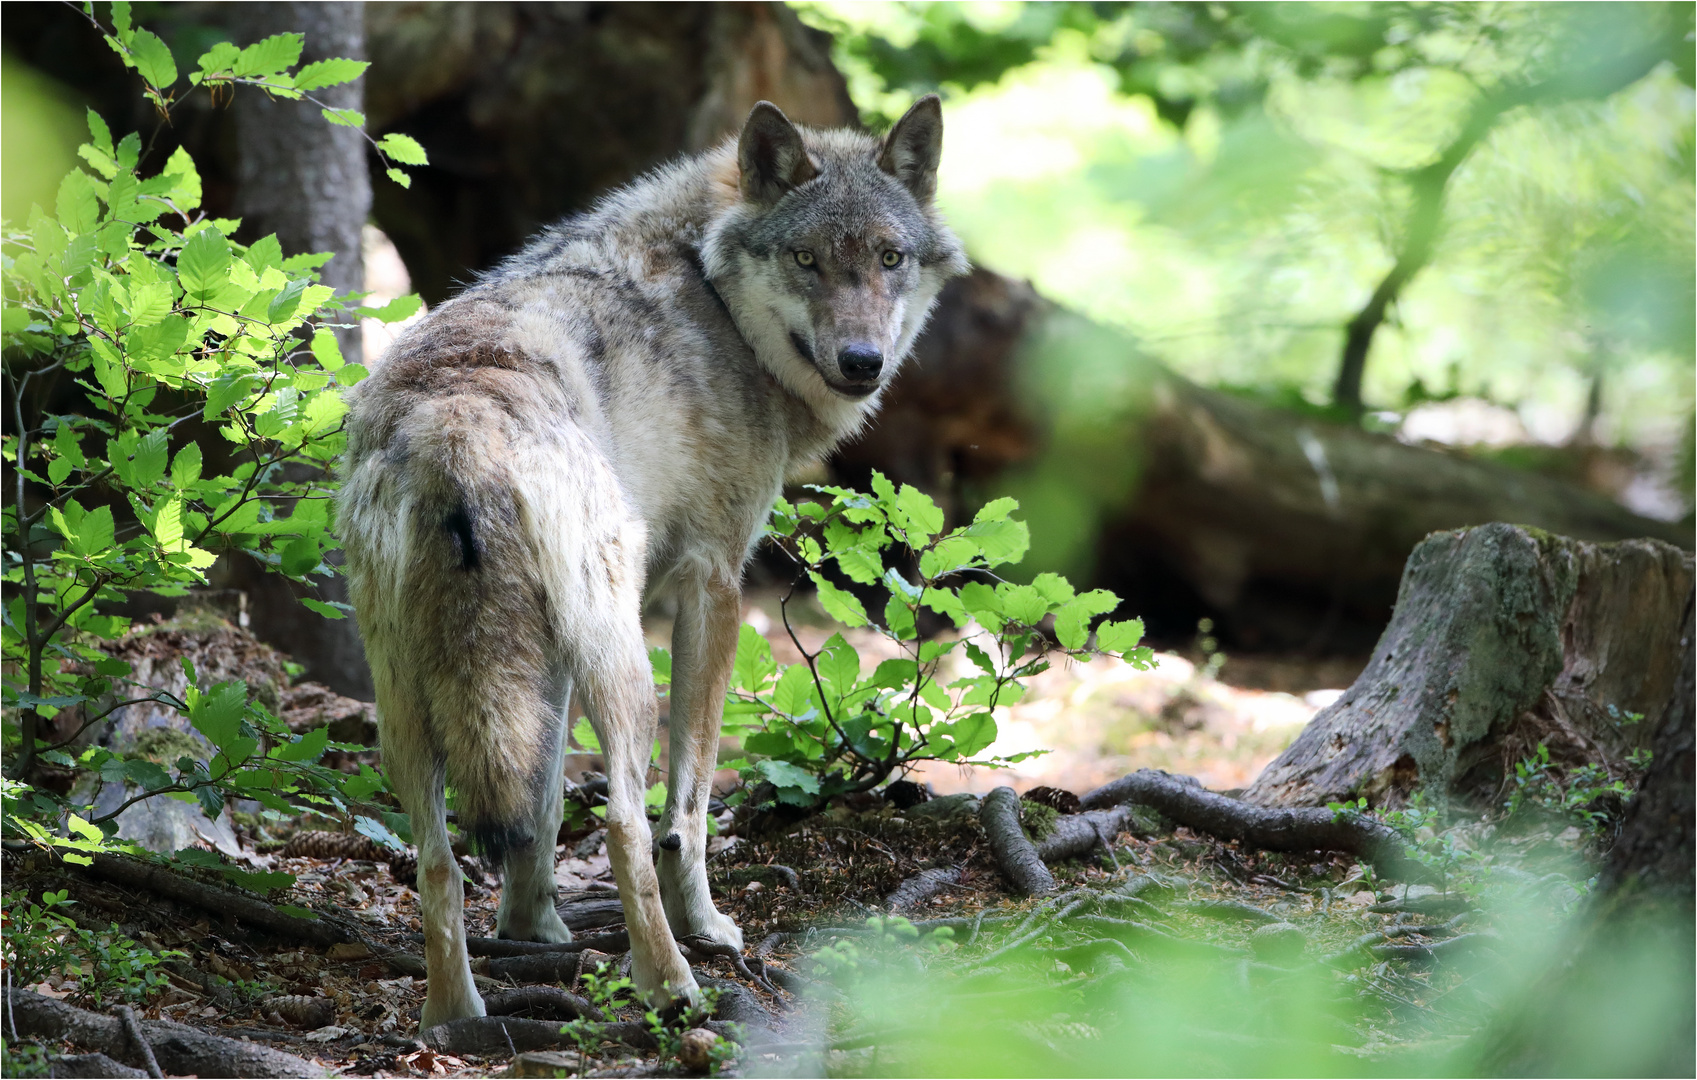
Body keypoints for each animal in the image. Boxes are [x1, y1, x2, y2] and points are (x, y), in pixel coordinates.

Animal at [334, 97, 970, 1025]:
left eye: (889, 258)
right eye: (806, 259)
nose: (862, 362)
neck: (712, 292)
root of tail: (455, 424)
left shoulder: (553, 658)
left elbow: (541, 805)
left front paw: (533, 929)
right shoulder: (715, 585)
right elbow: (690, 806)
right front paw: (703, 925)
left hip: (413, 701)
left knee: (439, 860)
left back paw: (456, 1016)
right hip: (625, 670)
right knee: (624, 823)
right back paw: (672, 984)